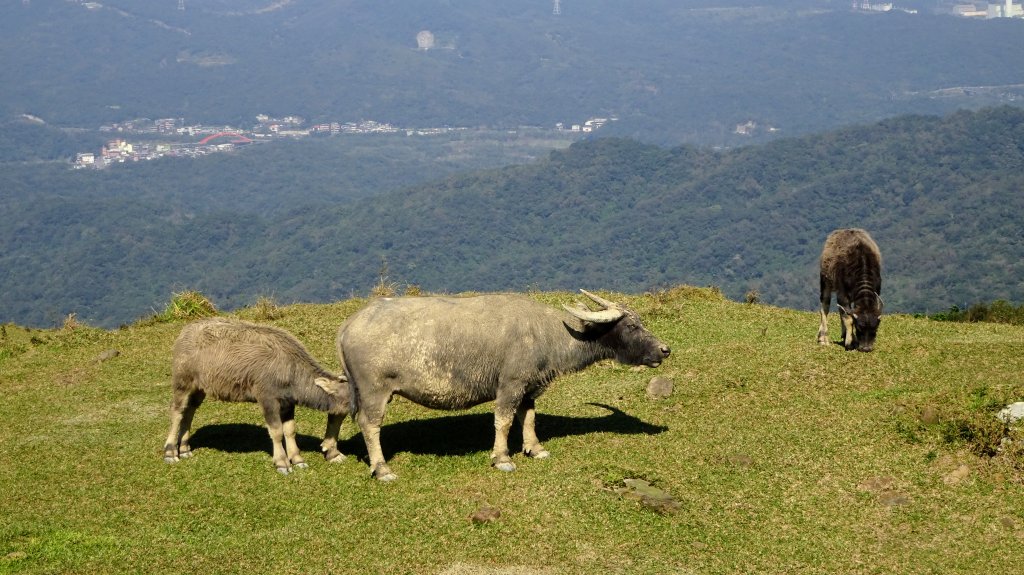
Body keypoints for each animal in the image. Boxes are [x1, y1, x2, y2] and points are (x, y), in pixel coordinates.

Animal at [160, 315, 352, 472]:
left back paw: (184, 448)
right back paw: (170, 451)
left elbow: (290, 430)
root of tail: (185, 332)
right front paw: (282, 462)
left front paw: (297, 459)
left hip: (199, 388)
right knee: (177, 411)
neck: (291, 369)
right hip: (182, 381)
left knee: (189, 411)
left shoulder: (288, 403)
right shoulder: (268, 399)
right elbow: (276, 431)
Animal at [335, 286, 671, 478]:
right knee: (369, 425)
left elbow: (529, 418)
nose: (665, 349)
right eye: (632, 325)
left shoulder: (529, 388)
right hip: (374, 391)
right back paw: (382, 469)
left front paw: (535, 448)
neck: (549, 332)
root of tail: (348, 325)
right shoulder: (510, 385)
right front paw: (502, 458)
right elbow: (504, 421)